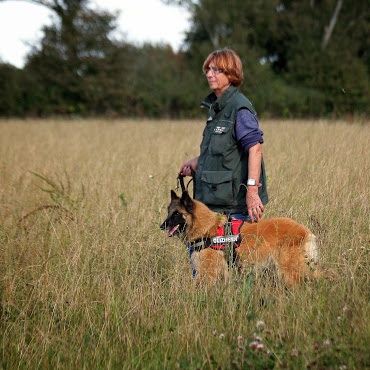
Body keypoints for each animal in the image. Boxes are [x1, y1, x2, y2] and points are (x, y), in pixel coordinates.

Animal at [160, 191, 328, 286]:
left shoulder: (207, 273)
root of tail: (305, 230)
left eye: (177, 213)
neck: (207, 228)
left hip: (290, 271)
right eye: (169, 212)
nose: (162, 226)